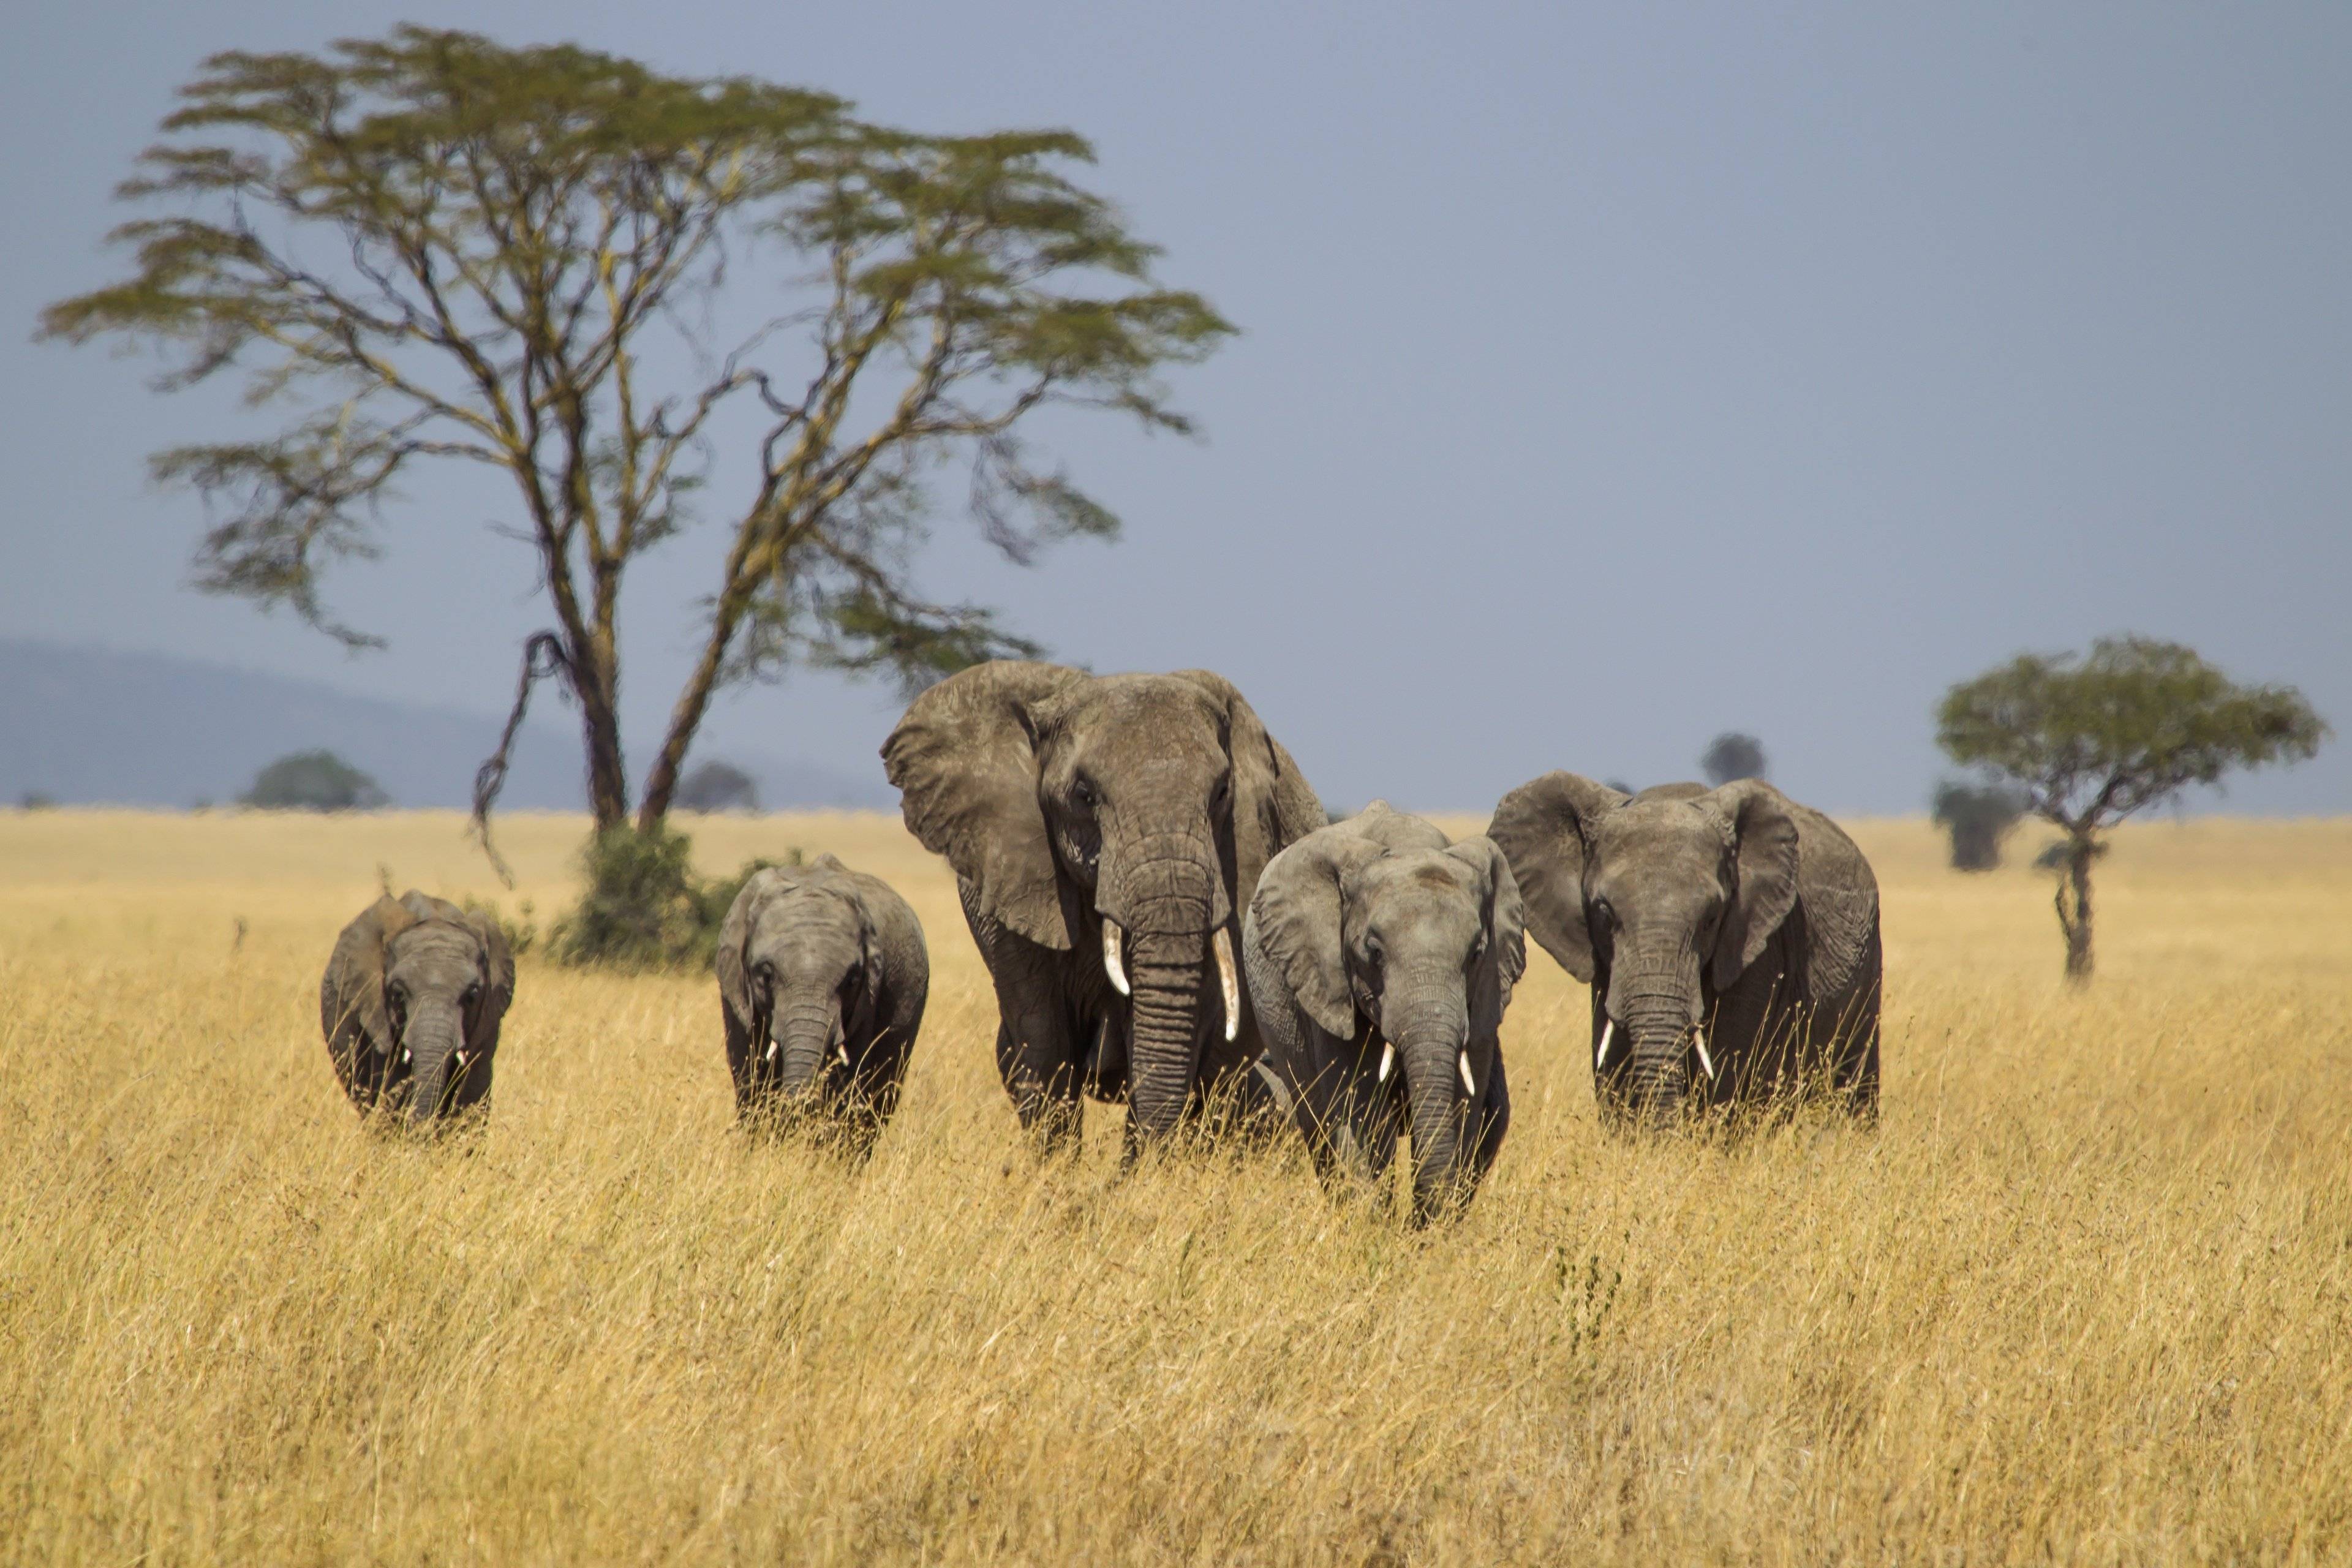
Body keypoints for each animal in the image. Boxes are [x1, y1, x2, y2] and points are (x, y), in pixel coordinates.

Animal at [710, 860, 931, 1152]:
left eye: (852, 980)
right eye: (766, 974)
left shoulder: (867, 1002)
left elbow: (846, 1081)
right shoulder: (736, 996)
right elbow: (750, 1073)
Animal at [1242, 809, 1533, 1222]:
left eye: (1477, 954)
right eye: (1373, 953)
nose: (1415, 1224)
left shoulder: (1484, 998)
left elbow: (1466, 1106)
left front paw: (1436, 1230)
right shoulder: (1330, 985)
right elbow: (1363, 1113)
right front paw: (1375, 1227)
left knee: (1495, 1120)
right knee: (1316, 1125)